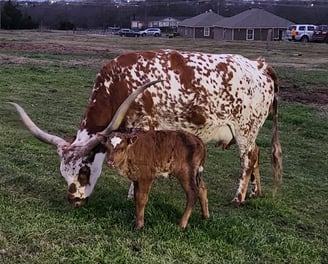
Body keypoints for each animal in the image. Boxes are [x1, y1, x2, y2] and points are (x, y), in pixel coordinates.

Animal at [10, 49, 282, 206]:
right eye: (63, 173)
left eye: (85, 170)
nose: (73, 199)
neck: (117, 83)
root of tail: (259, 65)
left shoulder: (145, 126)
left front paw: (133, 193)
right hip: (250, 131)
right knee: (256, 155)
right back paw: (255, 193)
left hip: (245, 128)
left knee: (248, 159)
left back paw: (238, 198)